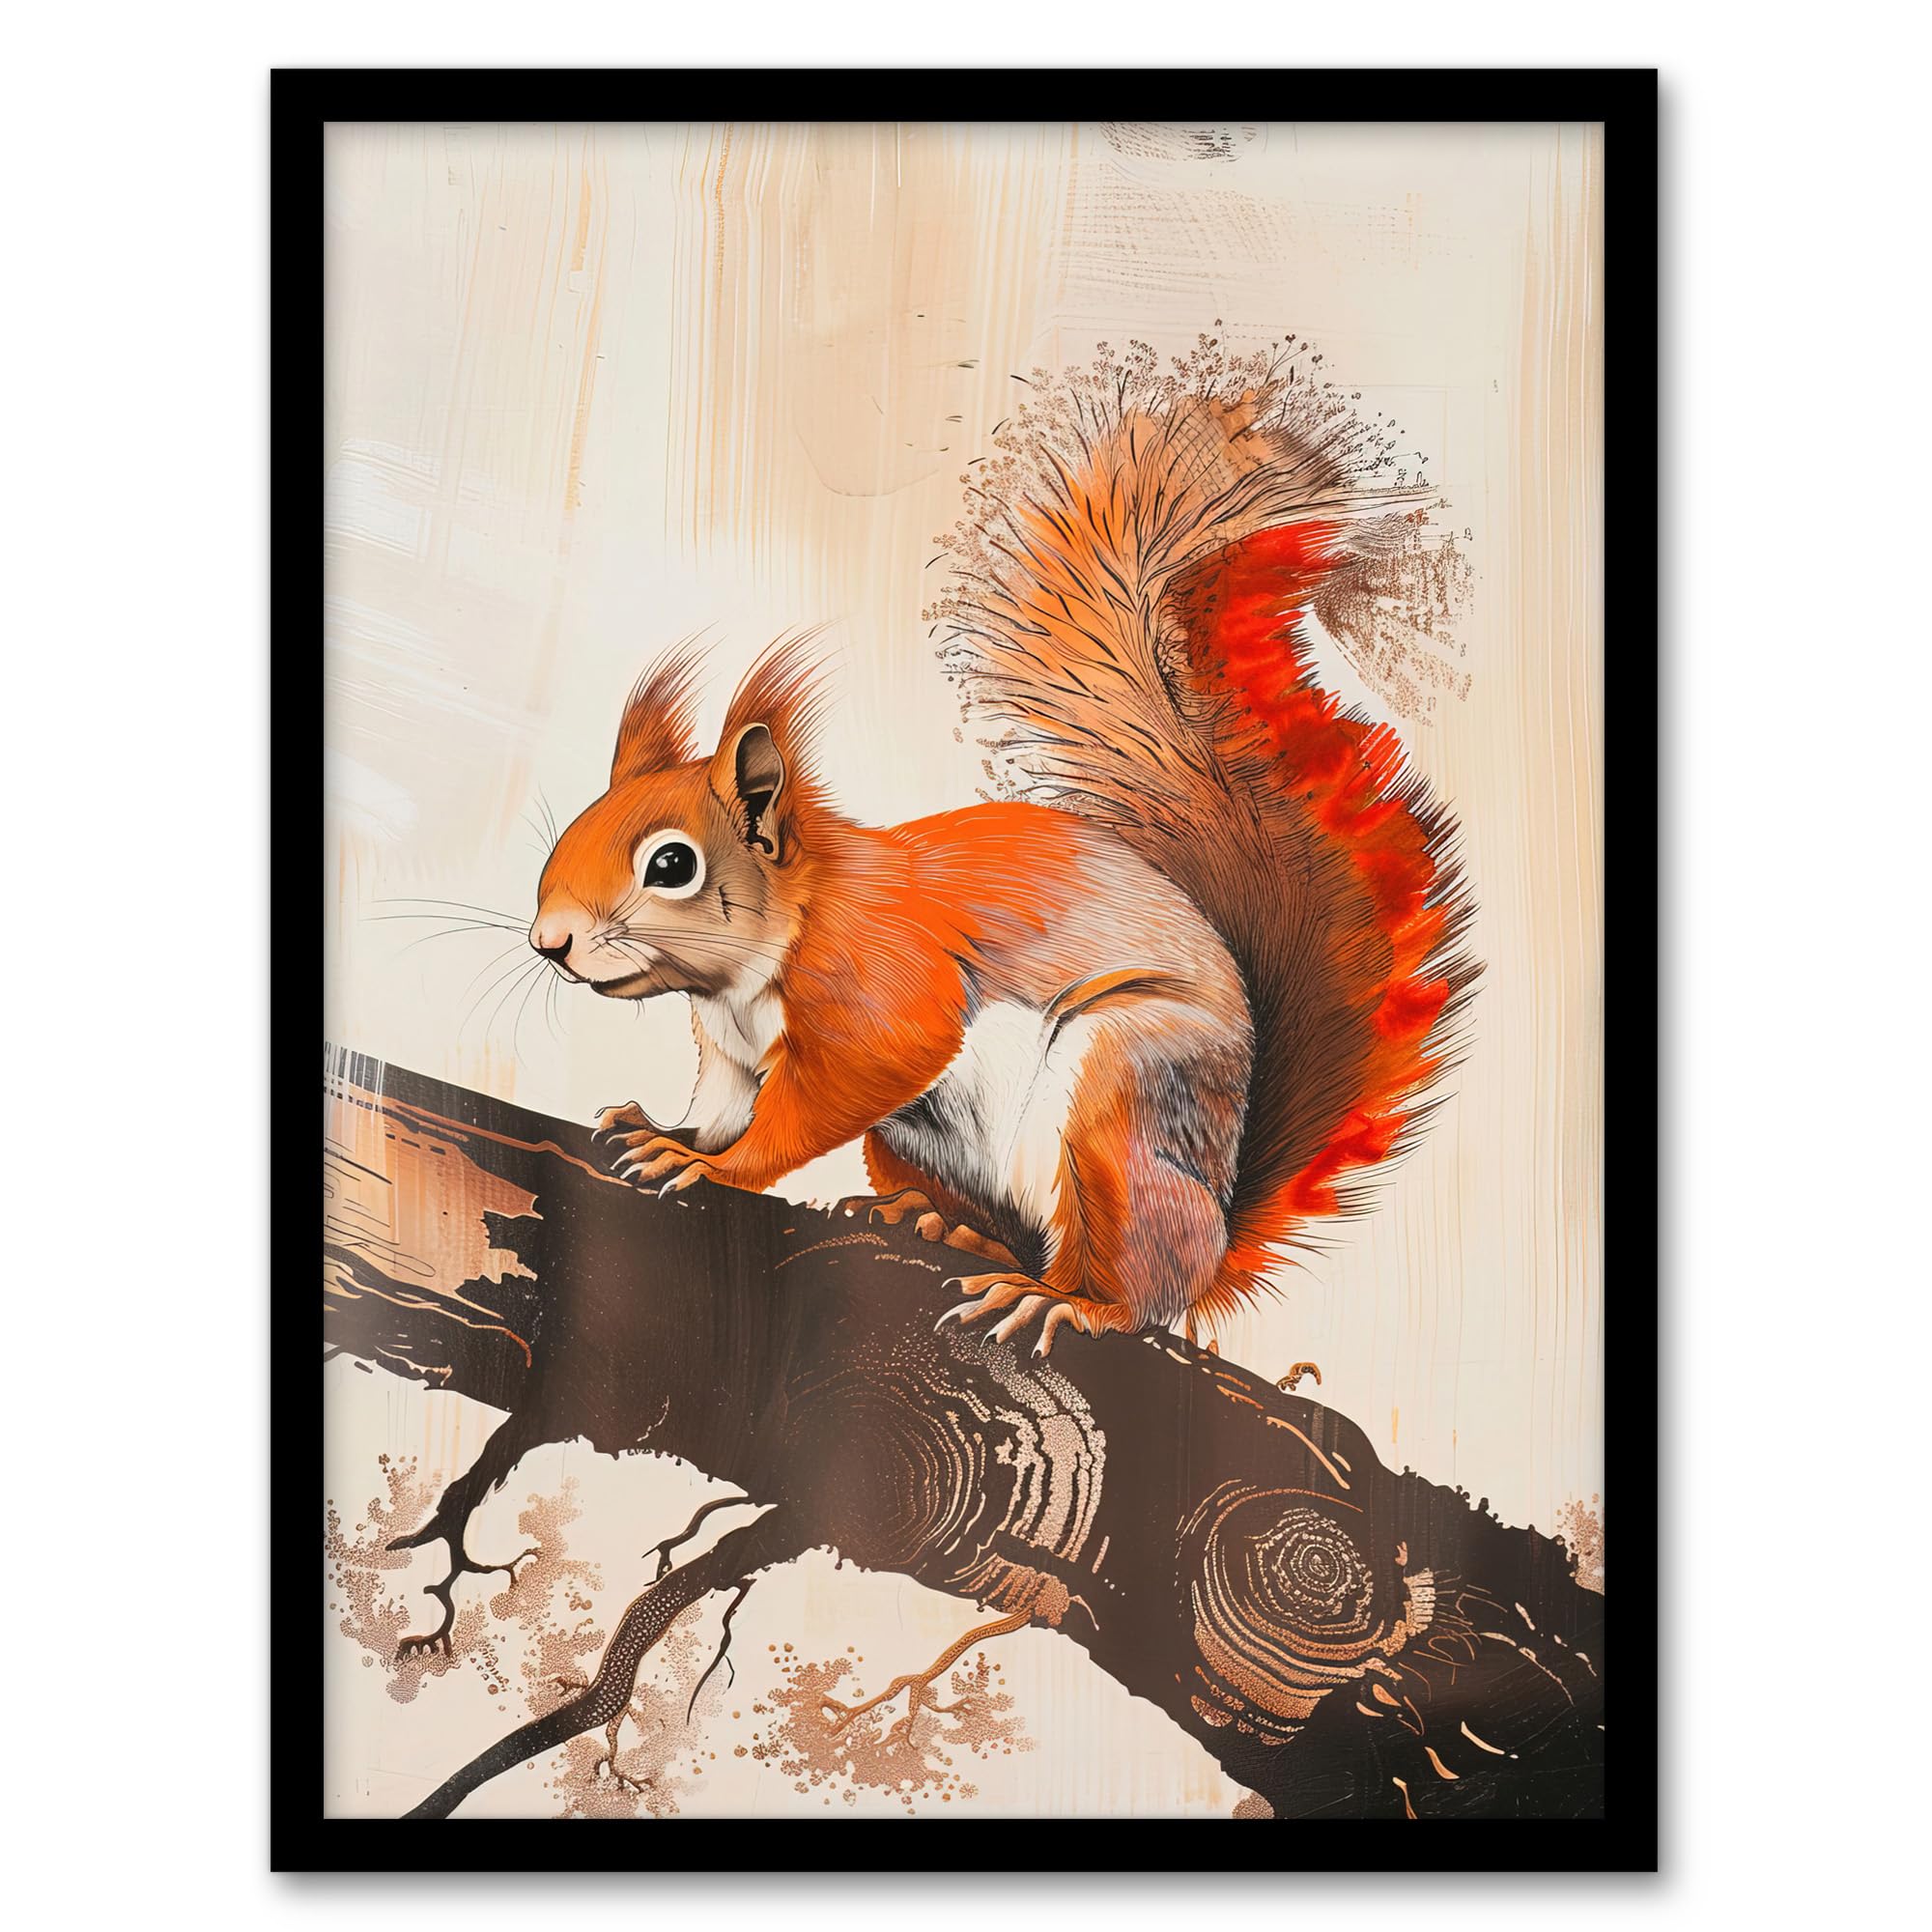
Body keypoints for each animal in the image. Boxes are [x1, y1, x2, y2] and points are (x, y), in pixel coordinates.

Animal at [528, 333, 1477, 1356]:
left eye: (672, 865)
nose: (549, 941)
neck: (759, 959)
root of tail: (1218, 1228)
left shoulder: (883, 993)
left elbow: (827, 1095)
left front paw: (720, 1169)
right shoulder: (735, 1053)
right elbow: (719, 1107)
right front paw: (665, 1132)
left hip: (1120, 1099)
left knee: (1132, 1281)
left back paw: (1067, 1298)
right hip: (919, 1142)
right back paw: (938, 1224)